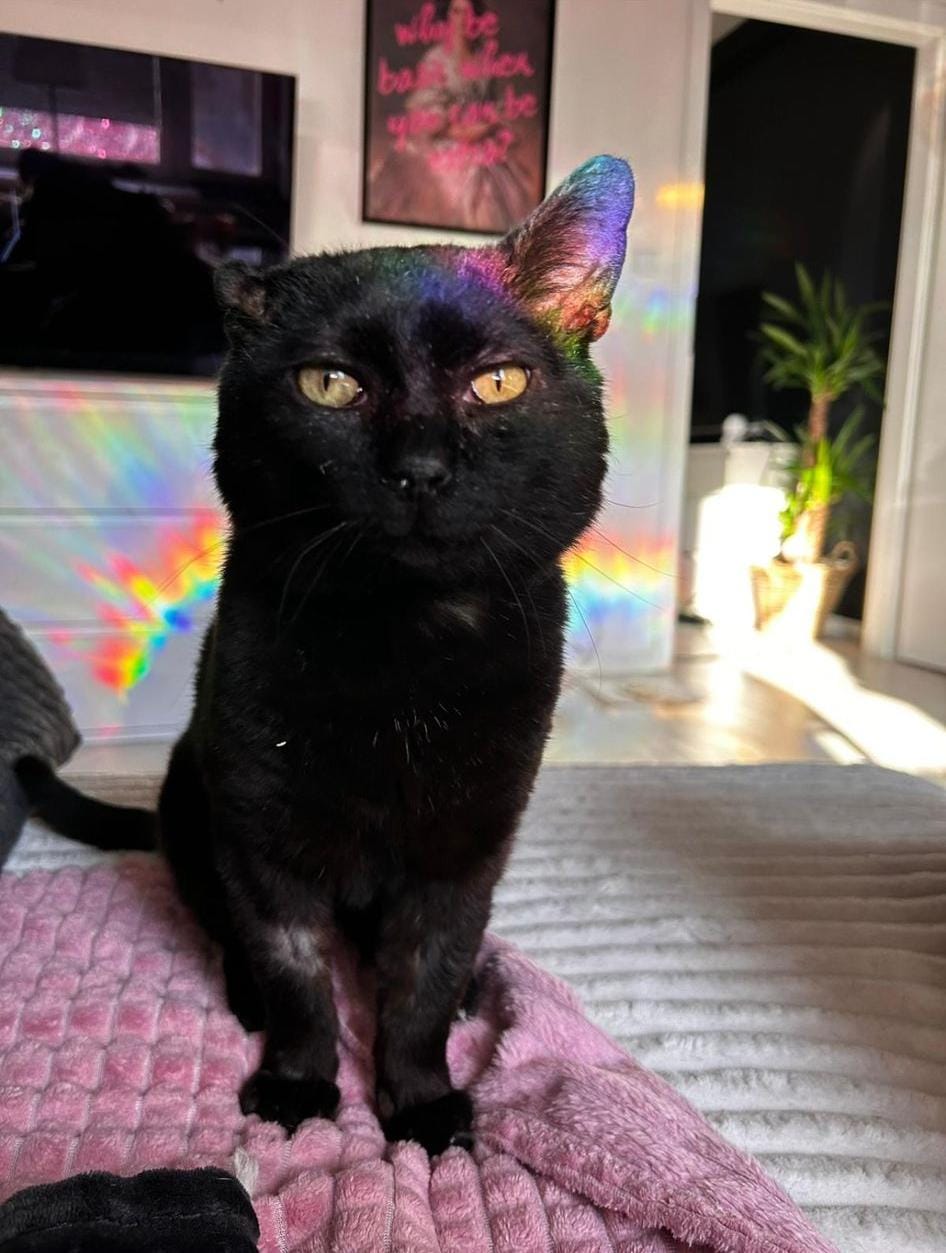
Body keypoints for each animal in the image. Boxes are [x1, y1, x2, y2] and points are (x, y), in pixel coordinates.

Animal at [18, 155, 634, 1155]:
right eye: (330, 385)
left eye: (498, 382)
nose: (420, 466)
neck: (402, 654)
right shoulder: (261, 836)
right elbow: (295, 971)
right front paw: (300, 1087)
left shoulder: (465, 845)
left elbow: (424, 979)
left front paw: (420, 1103)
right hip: (191, 788)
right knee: (222, 925)